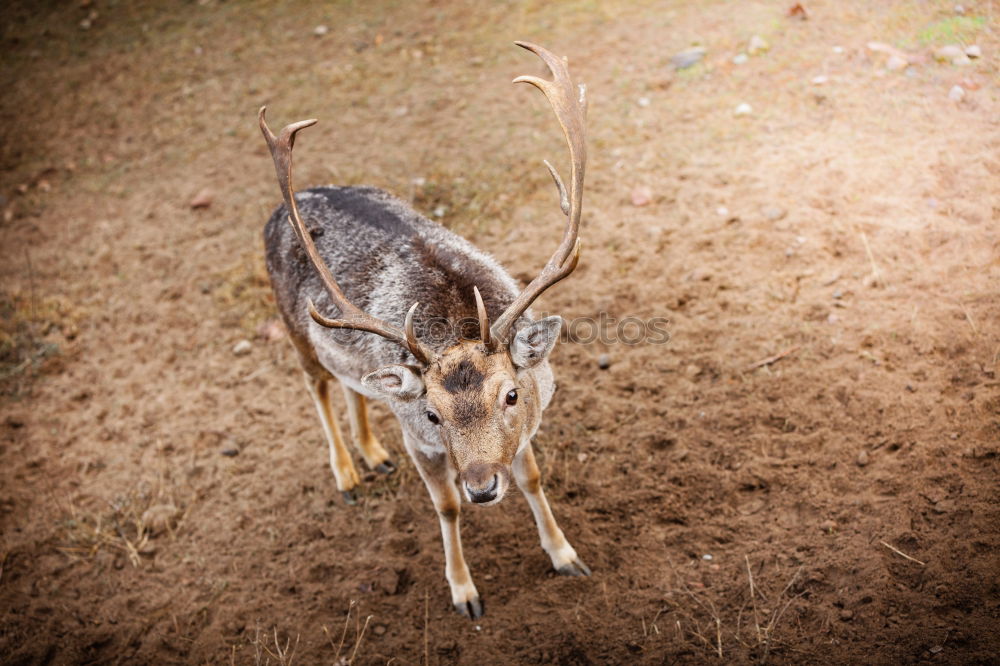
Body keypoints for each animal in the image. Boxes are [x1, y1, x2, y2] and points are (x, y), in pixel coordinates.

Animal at [256, 41, 592, 616]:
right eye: (432, 414)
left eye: (511, 395)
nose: (482, 487)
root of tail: (276, 214)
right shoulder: (418, 438)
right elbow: (446, 507)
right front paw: (464, 592)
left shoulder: (527, 428)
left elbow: (531, 477)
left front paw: (566, 556)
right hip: (291, 323)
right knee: (316, 382)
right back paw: (346, 473)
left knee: (353, 384)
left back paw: (374, 453)